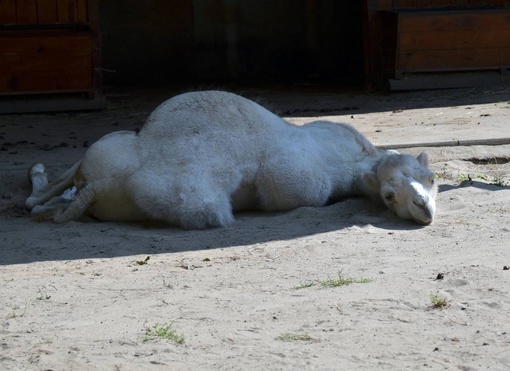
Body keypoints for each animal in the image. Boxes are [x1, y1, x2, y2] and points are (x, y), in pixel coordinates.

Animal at [24, 91, 438, 228]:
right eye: (388, 196)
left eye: (432, 179)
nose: (424, 209)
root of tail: (98, 186)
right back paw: (39, 174)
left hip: (109, 154)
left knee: (49, 196)